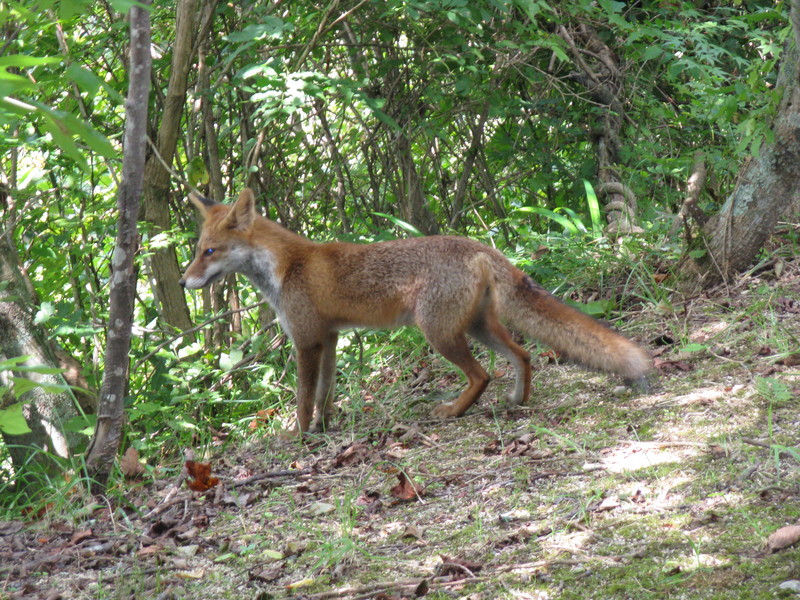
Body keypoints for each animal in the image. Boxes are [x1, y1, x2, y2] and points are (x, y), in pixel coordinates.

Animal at [180, 188, 648, 432]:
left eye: (209, 251)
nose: (184, 283)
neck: (286, 267)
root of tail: (479, 246)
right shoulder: (329, 339)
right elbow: (325, 394)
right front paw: (324, 428)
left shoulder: (306, 340)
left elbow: (302, 398)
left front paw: (298, 437)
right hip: (477, 327)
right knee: (523, 355)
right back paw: (518, 400)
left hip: (438, 333)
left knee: (483, 374)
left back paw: (455, 411)